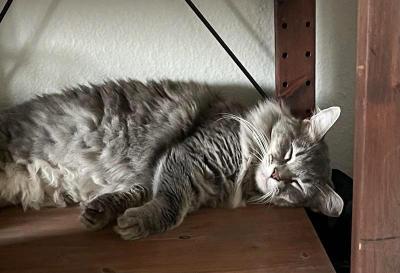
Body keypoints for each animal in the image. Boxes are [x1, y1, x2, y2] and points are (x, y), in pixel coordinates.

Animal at [0, 78, 344, 238]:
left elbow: (137, 193)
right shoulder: (187, 154)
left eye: (297, 185)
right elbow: (170, 202)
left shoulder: (155, 173)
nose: (276, 175)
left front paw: (101, 213)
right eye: (289, 152)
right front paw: (139, 222)